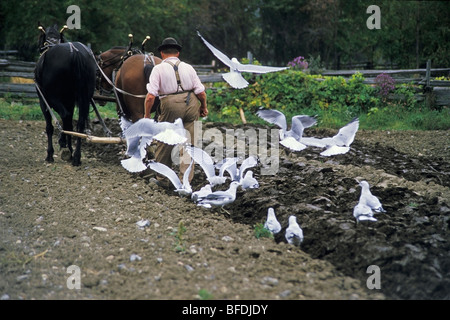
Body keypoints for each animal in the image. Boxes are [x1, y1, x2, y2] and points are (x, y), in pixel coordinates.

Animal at [35, 23, 97, 166]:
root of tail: (75, 52)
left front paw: (51, 153)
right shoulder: (70, 101)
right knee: (79, 123)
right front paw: (69, 149)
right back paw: (76, 157)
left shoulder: (43, 101)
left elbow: (50, 127)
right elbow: (70, 123)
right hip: (84, 97)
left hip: (53, 97)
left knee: (64, 116)